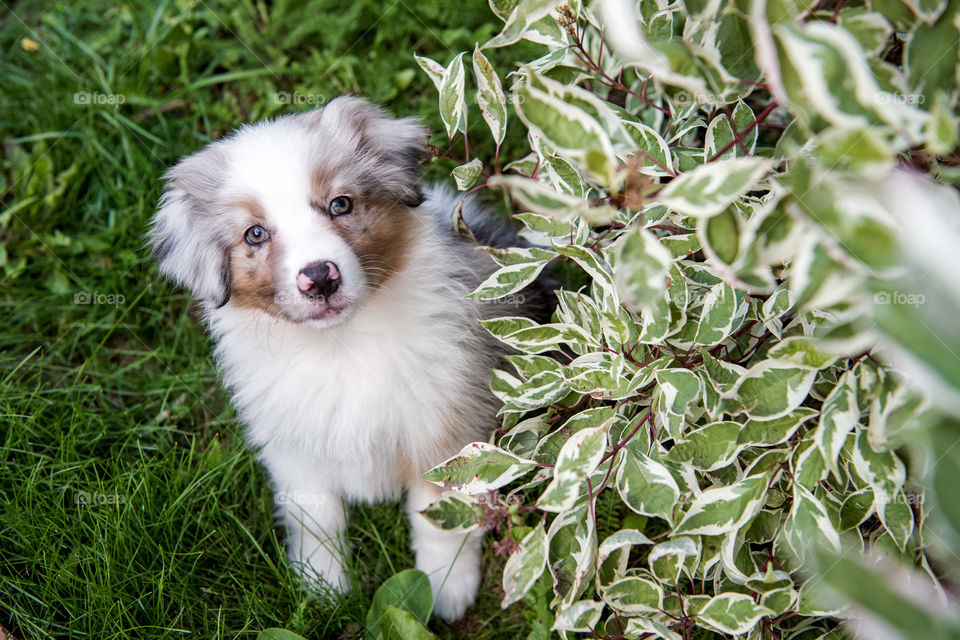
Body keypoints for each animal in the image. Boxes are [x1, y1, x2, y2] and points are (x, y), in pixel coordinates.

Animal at [147, 96, 544, 620]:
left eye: (341, 204)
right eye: (254, 235)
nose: (319, 278)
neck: (342, 343)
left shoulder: (450, 424)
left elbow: (439, 518)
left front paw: (444, 588)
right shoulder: (293, 443)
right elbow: (316, 515)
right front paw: (323, 586)